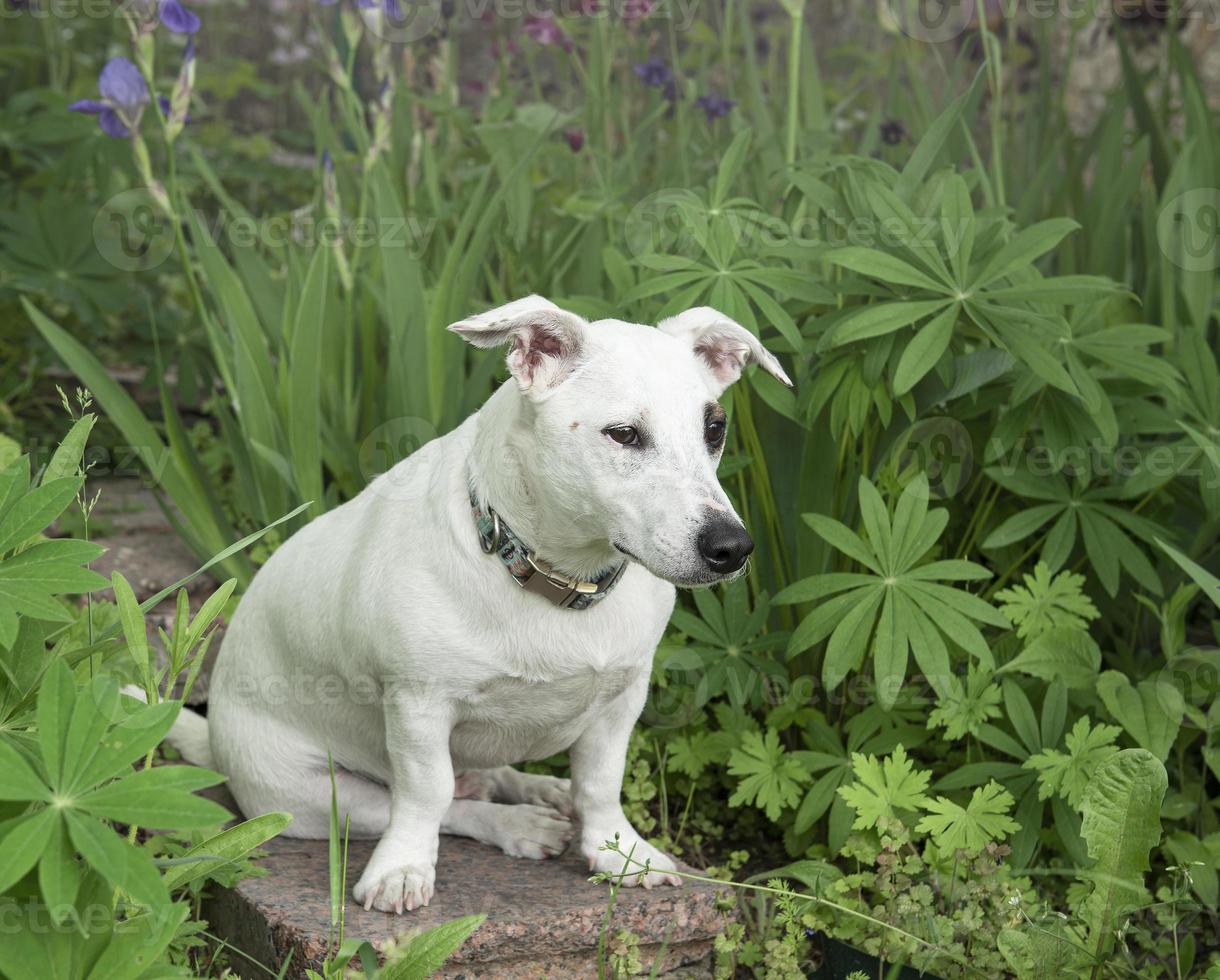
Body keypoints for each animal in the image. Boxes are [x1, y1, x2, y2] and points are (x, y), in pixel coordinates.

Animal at [169, 296, 790, 912]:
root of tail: (214, 740)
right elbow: (427, 794)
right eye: (623, 435)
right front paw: (402, 870)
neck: (554, 574)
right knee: (444, 806)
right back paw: (516, 825)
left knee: (496, 778)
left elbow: (600, 781)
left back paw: (540, 790)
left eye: (715, 428)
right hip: (313, 797)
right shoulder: (419, 710)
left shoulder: (622, 699)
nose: (732, 548)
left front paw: (619, 851)